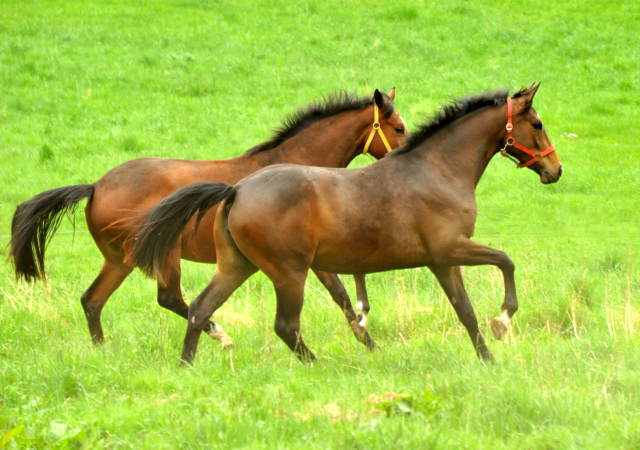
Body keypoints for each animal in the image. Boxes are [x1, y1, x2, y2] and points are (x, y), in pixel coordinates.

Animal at [10, 89, 408, 348]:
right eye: (399, 128)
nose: (407, 155)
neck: (297, 165)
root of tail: (95, 186)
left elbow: (342, 294)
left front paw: (366, 338)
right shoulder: (302, 255)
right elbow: (341, 294)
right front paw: (367, 339)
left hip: (120, 258)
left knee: (92, 300)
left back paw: (101, 349)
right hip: (163, 254)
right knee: (170, 298)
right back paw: (220, 335)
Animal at [131, 83, 564, 366]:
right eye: (538, 124)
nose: (555, 170)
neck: (437, 169)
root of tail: (236, 189)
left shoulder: (442, 261)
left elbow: (466, 311)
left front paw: (487, 357)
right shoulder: (448, 249)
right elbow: (505, 262)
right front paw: (502, 322)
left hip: (237, 266)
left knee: (199, 309)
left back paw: (187, 366)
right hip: (289, 272)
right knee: (285, 325)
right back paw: (317, 364)